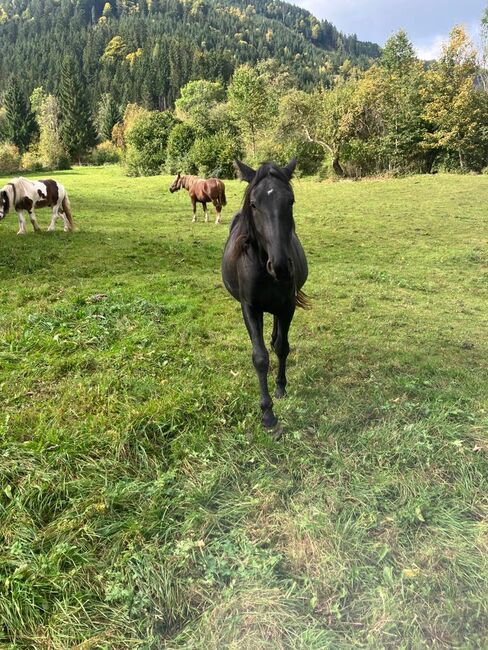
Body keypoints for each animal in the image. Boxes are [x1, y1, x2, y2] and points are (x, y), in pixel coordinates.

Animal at [222, 157, 308, 436]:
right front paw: (268, 414)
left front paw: (280, 387)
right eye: (253, 204)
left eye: (290, 201)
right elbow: (260, 358)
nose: (280, 266)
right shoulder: (250, 308)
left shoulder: (288, 306)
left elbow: (282, 347)